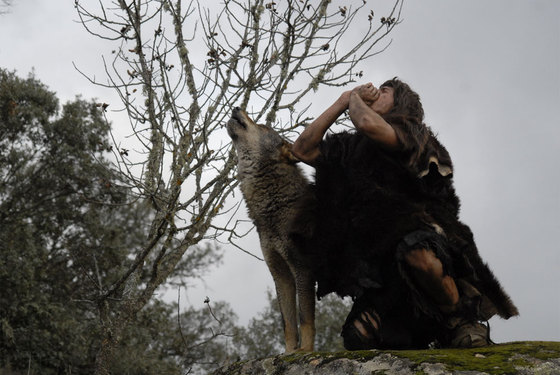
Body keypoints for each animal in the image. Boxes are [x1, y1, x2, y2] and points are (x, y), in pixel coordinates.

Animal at [226, 108, 316, 352]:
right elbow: (287, 323)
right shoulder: (281, 274)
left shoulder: (303, 269)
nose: (236, 107)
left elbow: (305, 318)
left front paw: (305, 352)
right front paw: (289, 353)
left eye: (263, 127)